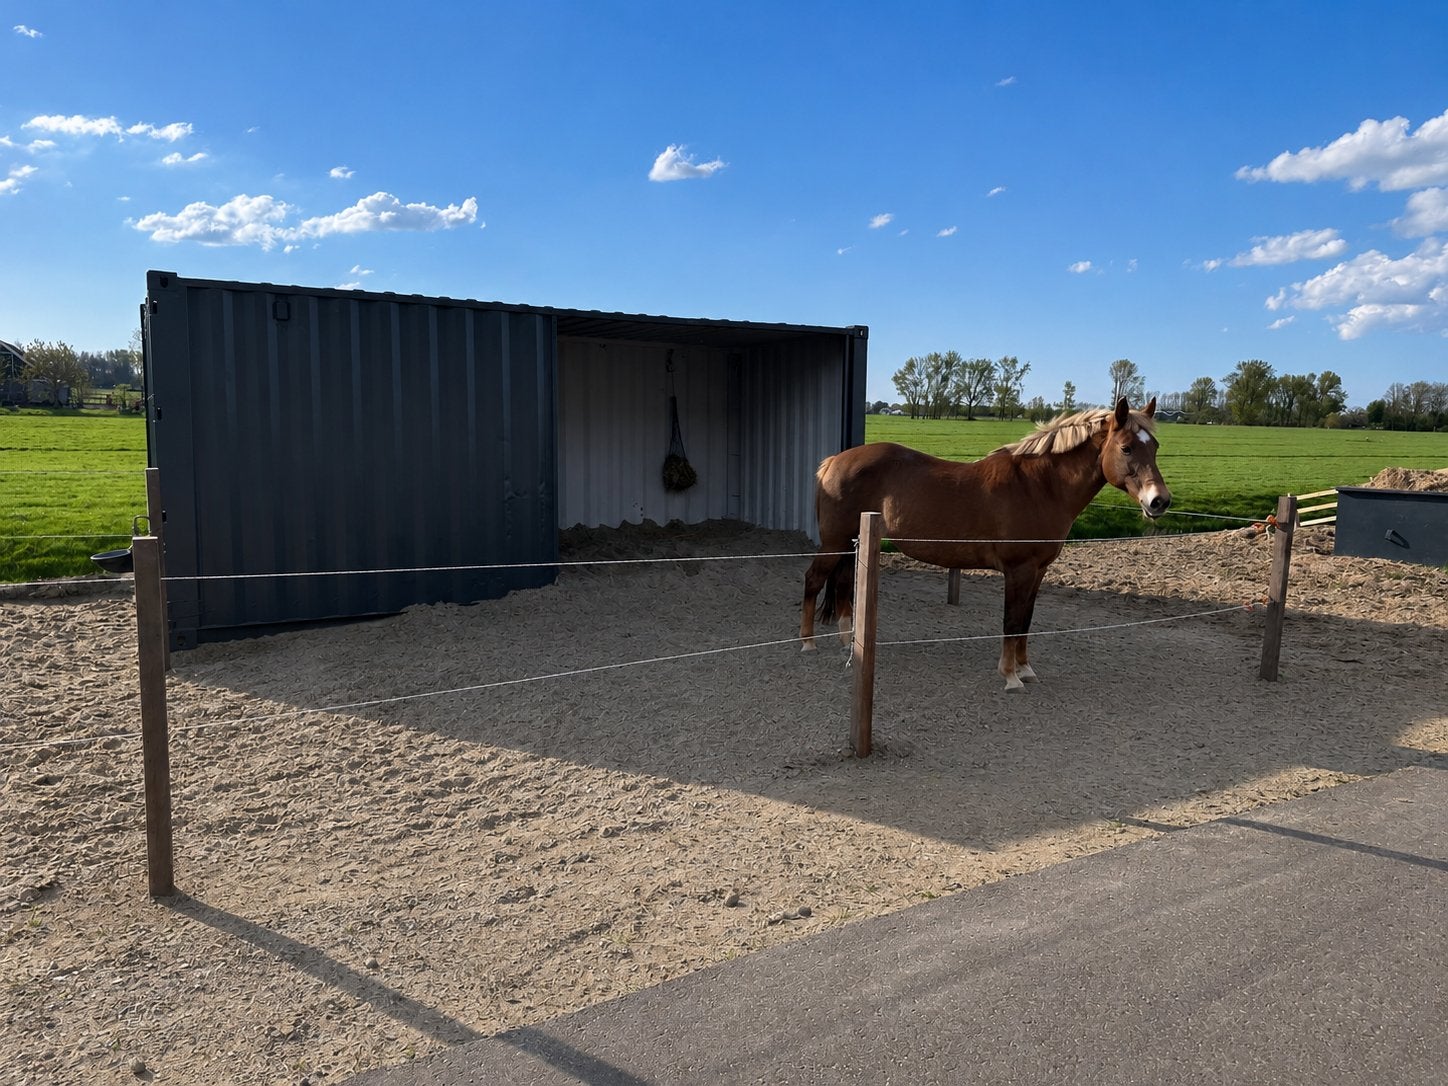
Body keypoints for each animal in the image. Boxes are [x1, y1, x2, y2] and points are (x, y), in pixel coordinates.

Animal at [800, 397, 1170, 691]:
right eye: (1126, 447)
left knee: (843, 584)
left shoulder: (1038, 571)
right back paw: (807, 643)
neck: (1039, 487)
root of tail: (832, 461)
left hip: (851, 543)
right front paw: (1010, 676)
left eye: (1154, 447)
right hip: (834, 542)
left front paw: (1026, 668)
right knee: (814, 579)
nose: (1159, 501)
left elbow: (1026, 620)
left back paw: (847, 642)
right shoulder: (1018, 571)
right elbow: (1011, 621)